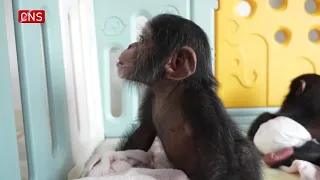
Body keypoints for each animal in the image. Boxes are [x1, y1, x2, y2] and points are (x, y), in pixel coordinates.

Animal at [115, 14, 262, 180]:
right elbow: (144, 131)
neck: (169, 91)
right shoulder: (150, 97)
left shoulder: (201, 105)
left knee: (244, 152)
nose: (130, 46)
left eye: (142, 40)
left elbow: (218, 160)